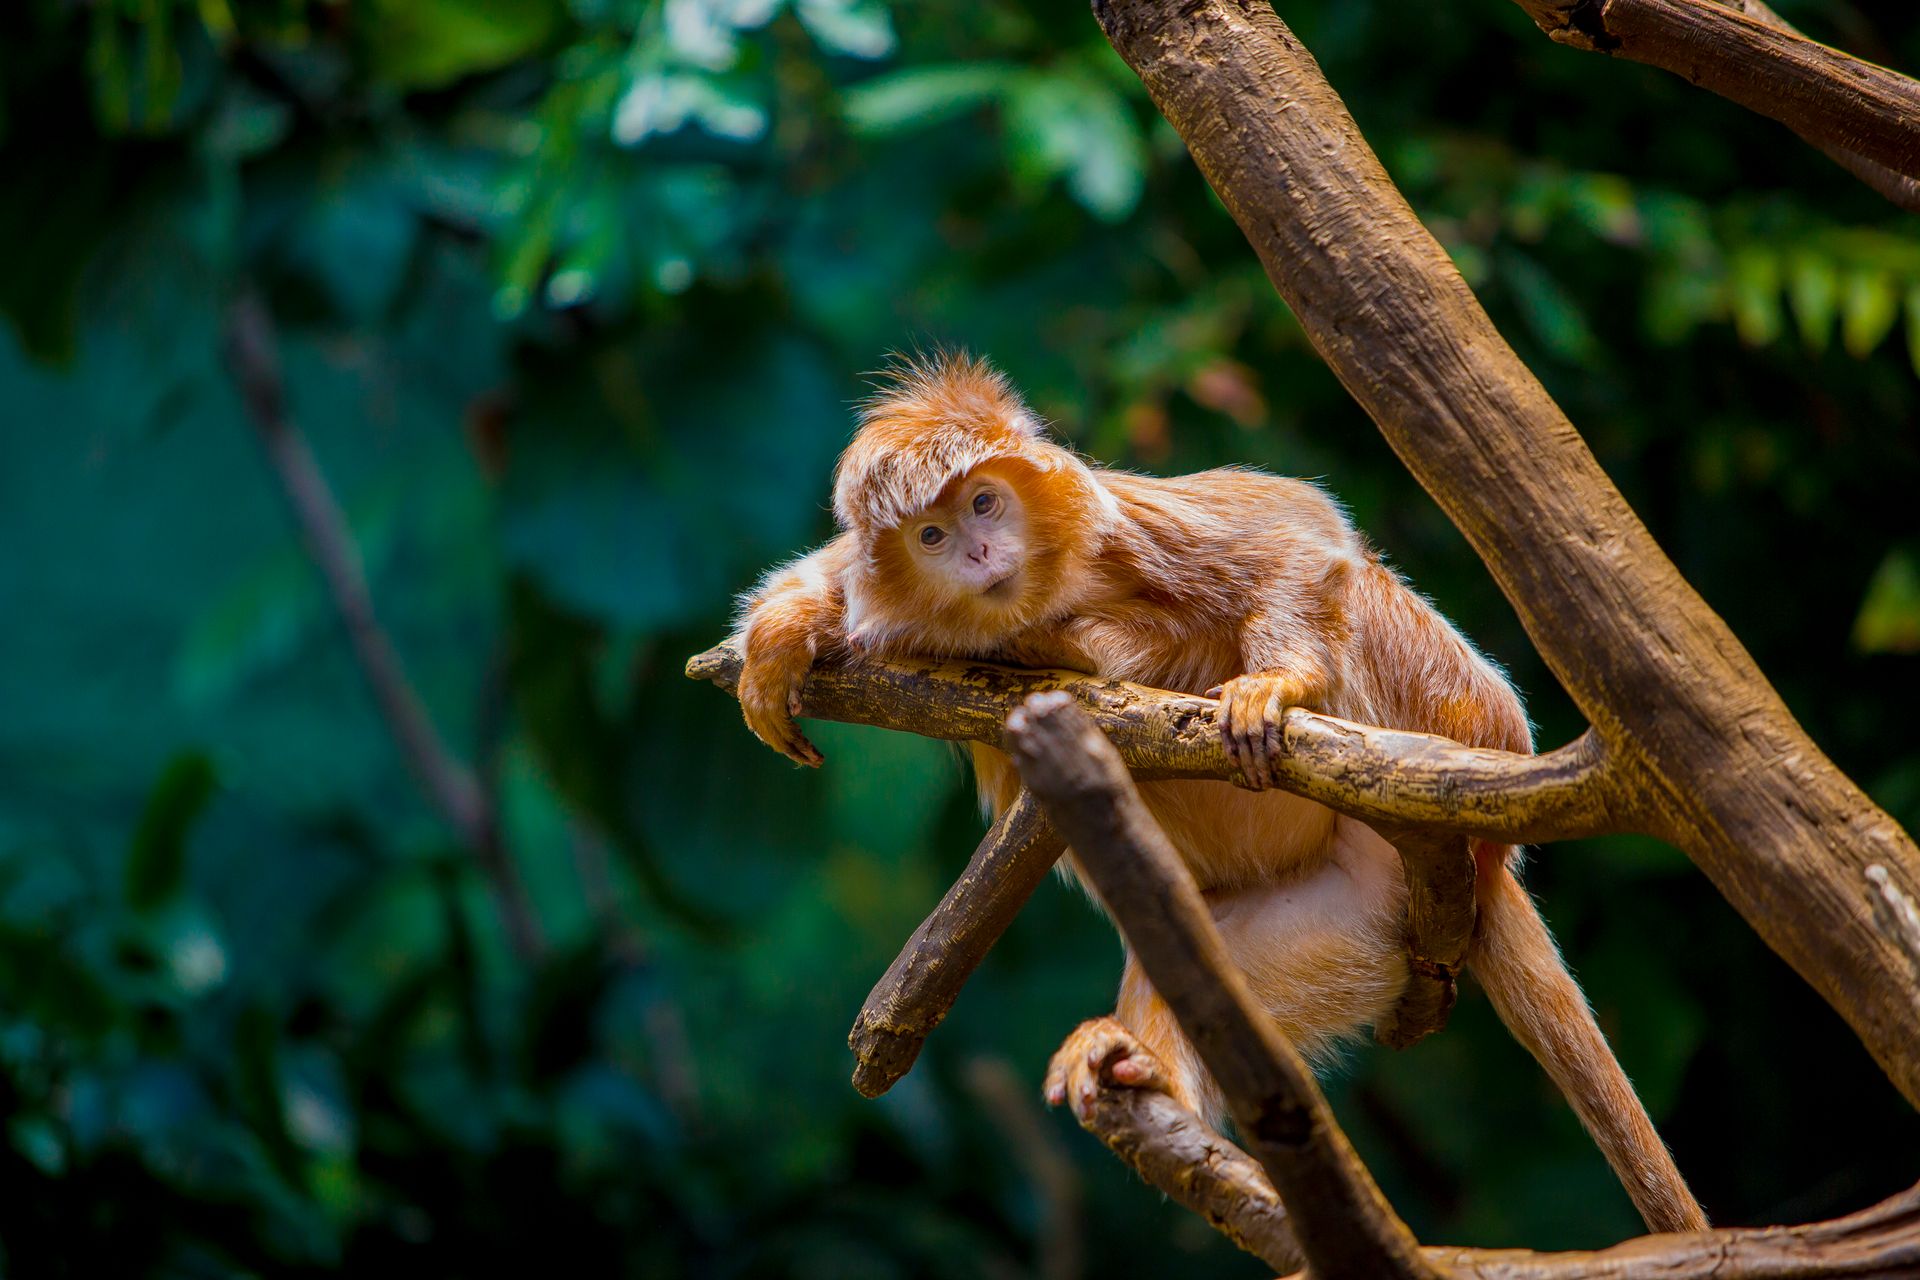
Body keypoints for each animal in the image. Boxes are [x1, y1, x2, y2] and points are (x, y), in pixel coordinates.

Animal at [731, 352, 1706, 1235]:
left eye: (983, 504)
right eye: (930, 537)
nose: (975, 550)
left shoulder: (1128, 517)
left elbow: (1295, 530)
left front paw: (1263, 681)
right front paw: (780, 633)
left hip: (1453, 713)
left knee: (1353, 589)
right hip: (1353, 920)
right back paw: (1145, 1066)